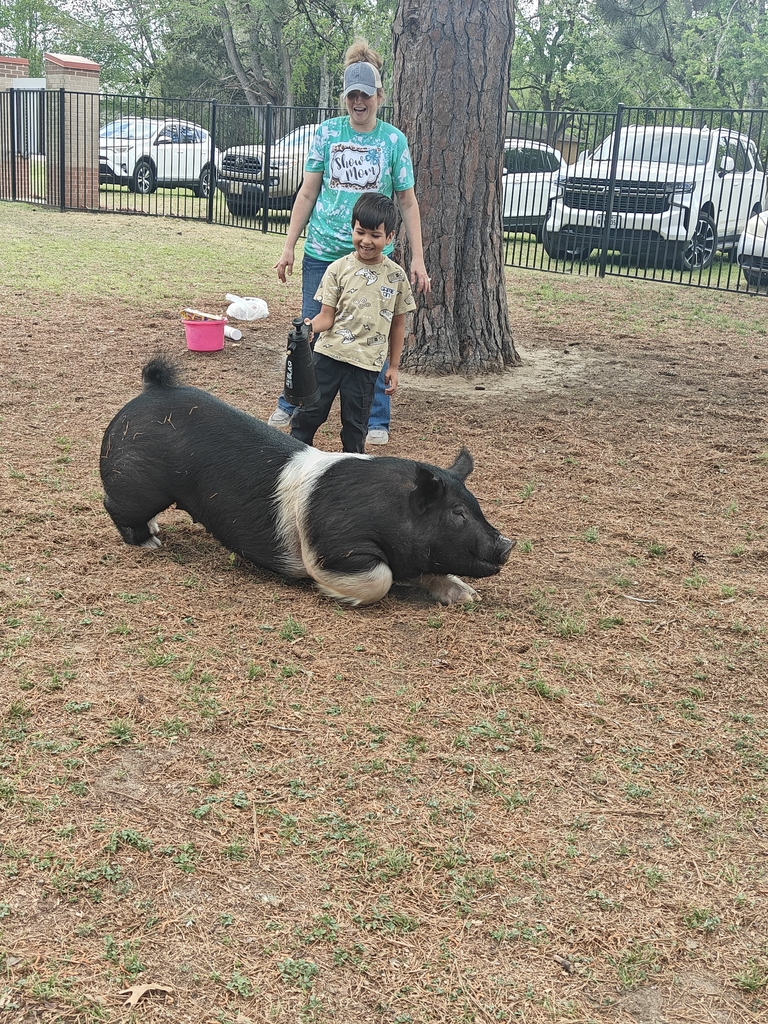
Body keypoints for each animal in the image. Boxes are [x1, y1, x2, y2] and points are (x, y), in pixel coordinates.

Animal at [99, 358, 514, 605]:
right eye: (457, 514)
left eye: (475, 506)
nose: (508, 543)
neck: (389, 511)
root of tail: (151, 389)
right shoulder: (336, 545)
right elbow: (379, 578)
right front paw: (326, 590)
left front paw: (467, 595)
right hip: (137, 482)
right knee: (115, 506)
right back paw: (151, 542)